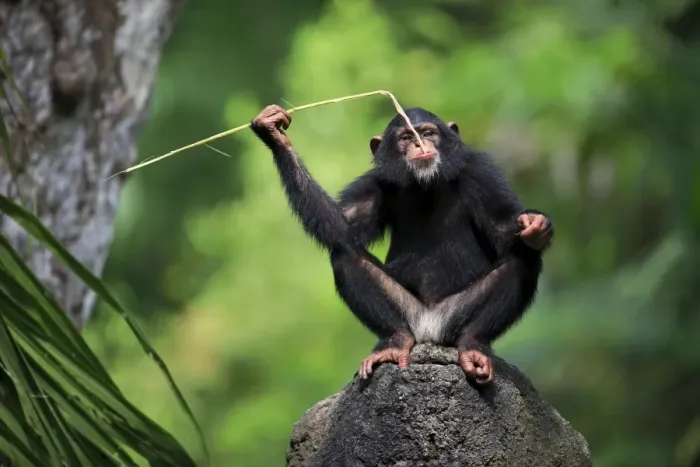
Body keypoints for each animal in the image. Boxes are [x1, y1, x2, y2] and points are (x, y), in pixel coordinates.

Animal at [250, 104, 553, 385]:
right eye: (406, 137)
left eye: (428, 133)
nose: (420, 144)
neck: (425, 183)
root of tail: (430, 332)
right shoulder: (376, 181)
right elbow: (343, 226)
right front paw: (273, 132)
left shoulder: (480, 171)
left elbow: (501, 225)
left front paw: (535, 225)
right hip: (410, 314)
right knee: (344, 257)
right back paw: (395, 343)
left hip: (454, 317)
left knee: (524, 258)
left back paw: (473, 346)